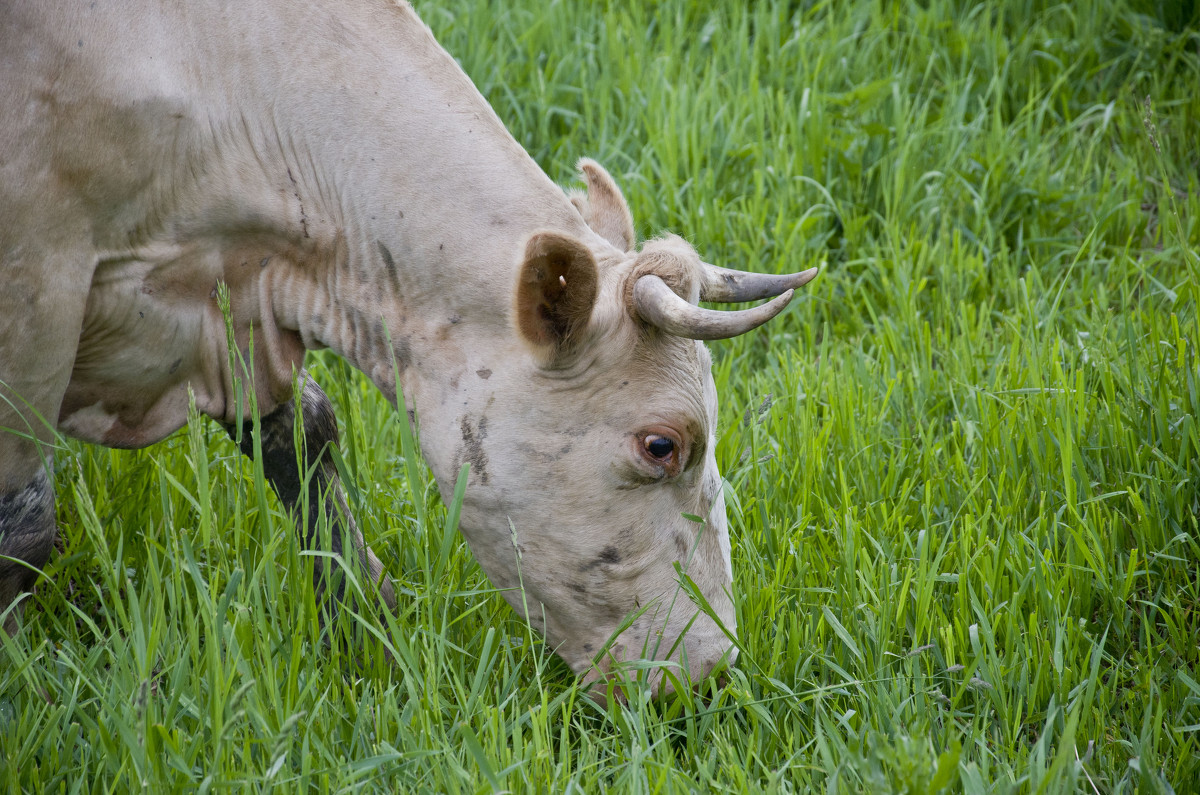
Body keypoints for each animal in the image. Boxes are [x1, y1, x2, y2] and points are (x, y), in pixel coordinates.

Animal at [0, 0, 816, 696]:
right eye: (661, 444)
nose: (711, 672)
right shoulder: (36, 289)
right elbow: (26, 524)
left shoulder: (229, 321)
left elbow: (302, 433)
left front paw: (370, 621)